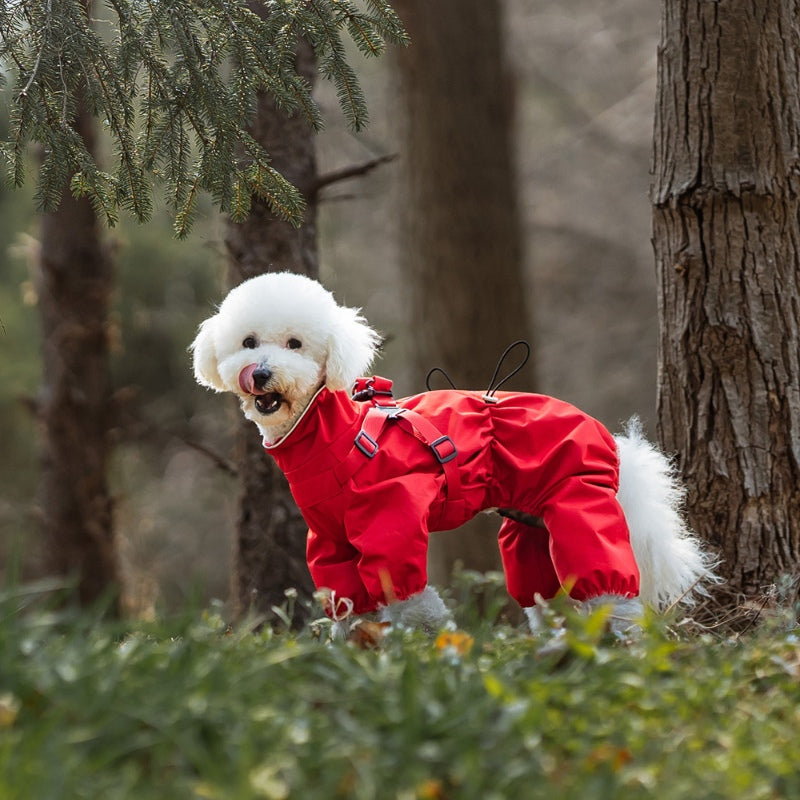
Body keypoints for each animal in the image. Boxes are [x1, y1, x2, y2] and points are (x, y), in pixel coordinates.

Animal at [191, 272, 716, 636]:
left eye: (295, 343)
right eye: (248, 342)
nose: (260, 374)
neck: (331, 435)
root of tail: (611, 439)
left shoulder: (391, 521)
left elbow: (410, 599)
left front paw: (431, 647)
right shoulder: (330, 541)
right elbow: (346, 605)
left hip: (578, 506)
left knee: (611, 593)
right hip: (528, 532)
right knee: (545, 599)